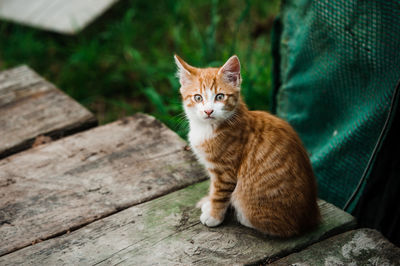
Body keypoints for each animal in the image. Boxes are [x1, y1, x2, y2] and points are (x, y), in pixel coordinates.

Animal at [173, 54, 320, 237]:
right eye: (198, 98)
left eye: (219, 96)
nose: (208, 111)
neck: (207, 128)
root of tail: (312, 216)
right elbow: (213, 189)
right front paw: (208, 202)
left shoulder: (225, 172)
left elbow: (219, 194)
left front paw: (214, 216)